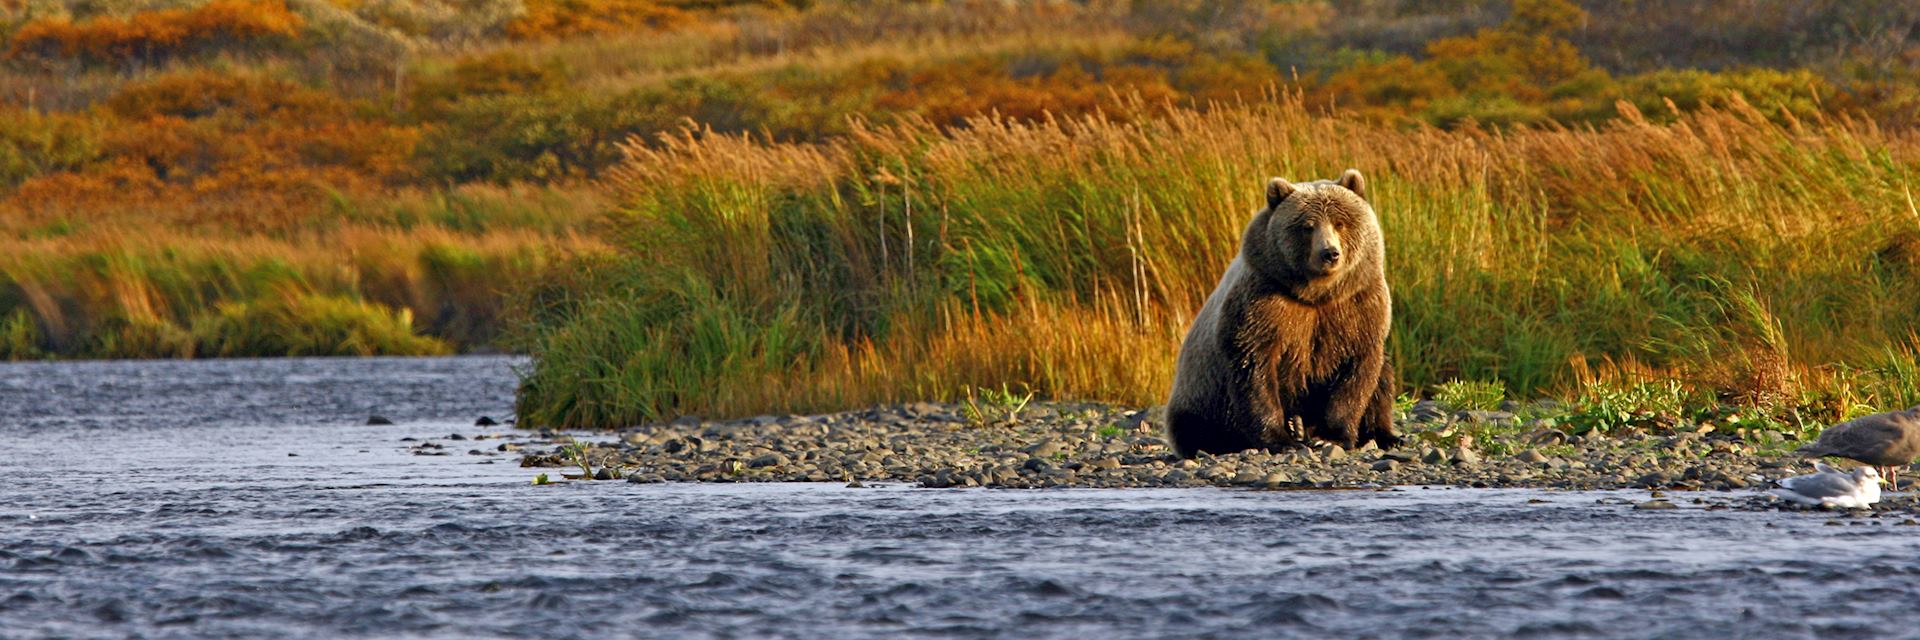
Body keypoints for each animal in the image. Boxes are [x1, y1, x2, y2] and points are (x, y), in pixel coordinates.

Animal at [1159, 164, 1405, 453]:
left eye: (1340, 222)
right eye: (1307, 226)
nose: (1329, 253)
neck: (1316, 294)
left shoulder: (1357, 306)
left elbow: (1357, 373)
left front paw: (1331, 436)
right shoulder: (1264, 304)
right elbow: (1255, 370)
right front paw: (1281, 439)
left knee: (1383, 379)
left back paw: (1384, 435)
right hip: (1200, 393)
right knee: (1197, 426)